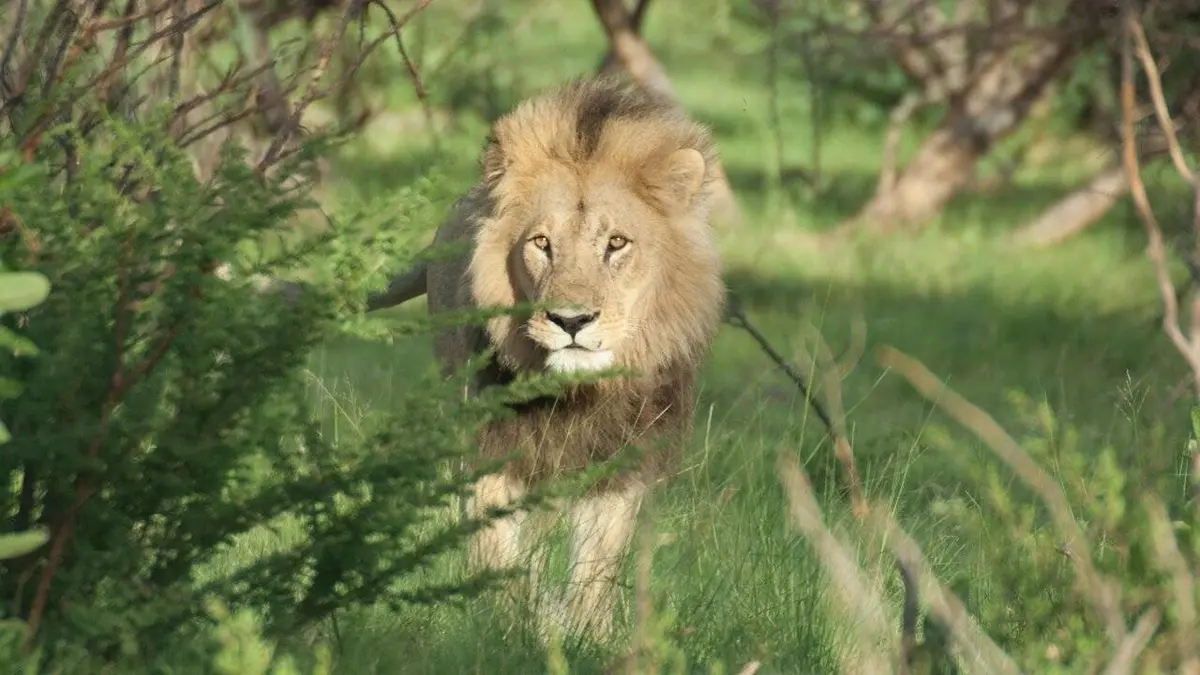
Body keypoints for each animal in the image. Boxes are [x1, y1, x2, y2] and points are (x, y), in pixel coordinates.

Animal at [376, 76, 726, 640]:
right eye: (541, 243)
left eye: (617, 243)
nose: (571, 321)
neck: (576, 394)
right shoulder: (488, 446)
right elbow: (496, 551)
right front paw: (511, 629)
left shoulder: (619, 461)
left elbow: (597, 565)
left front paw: (587, 636)